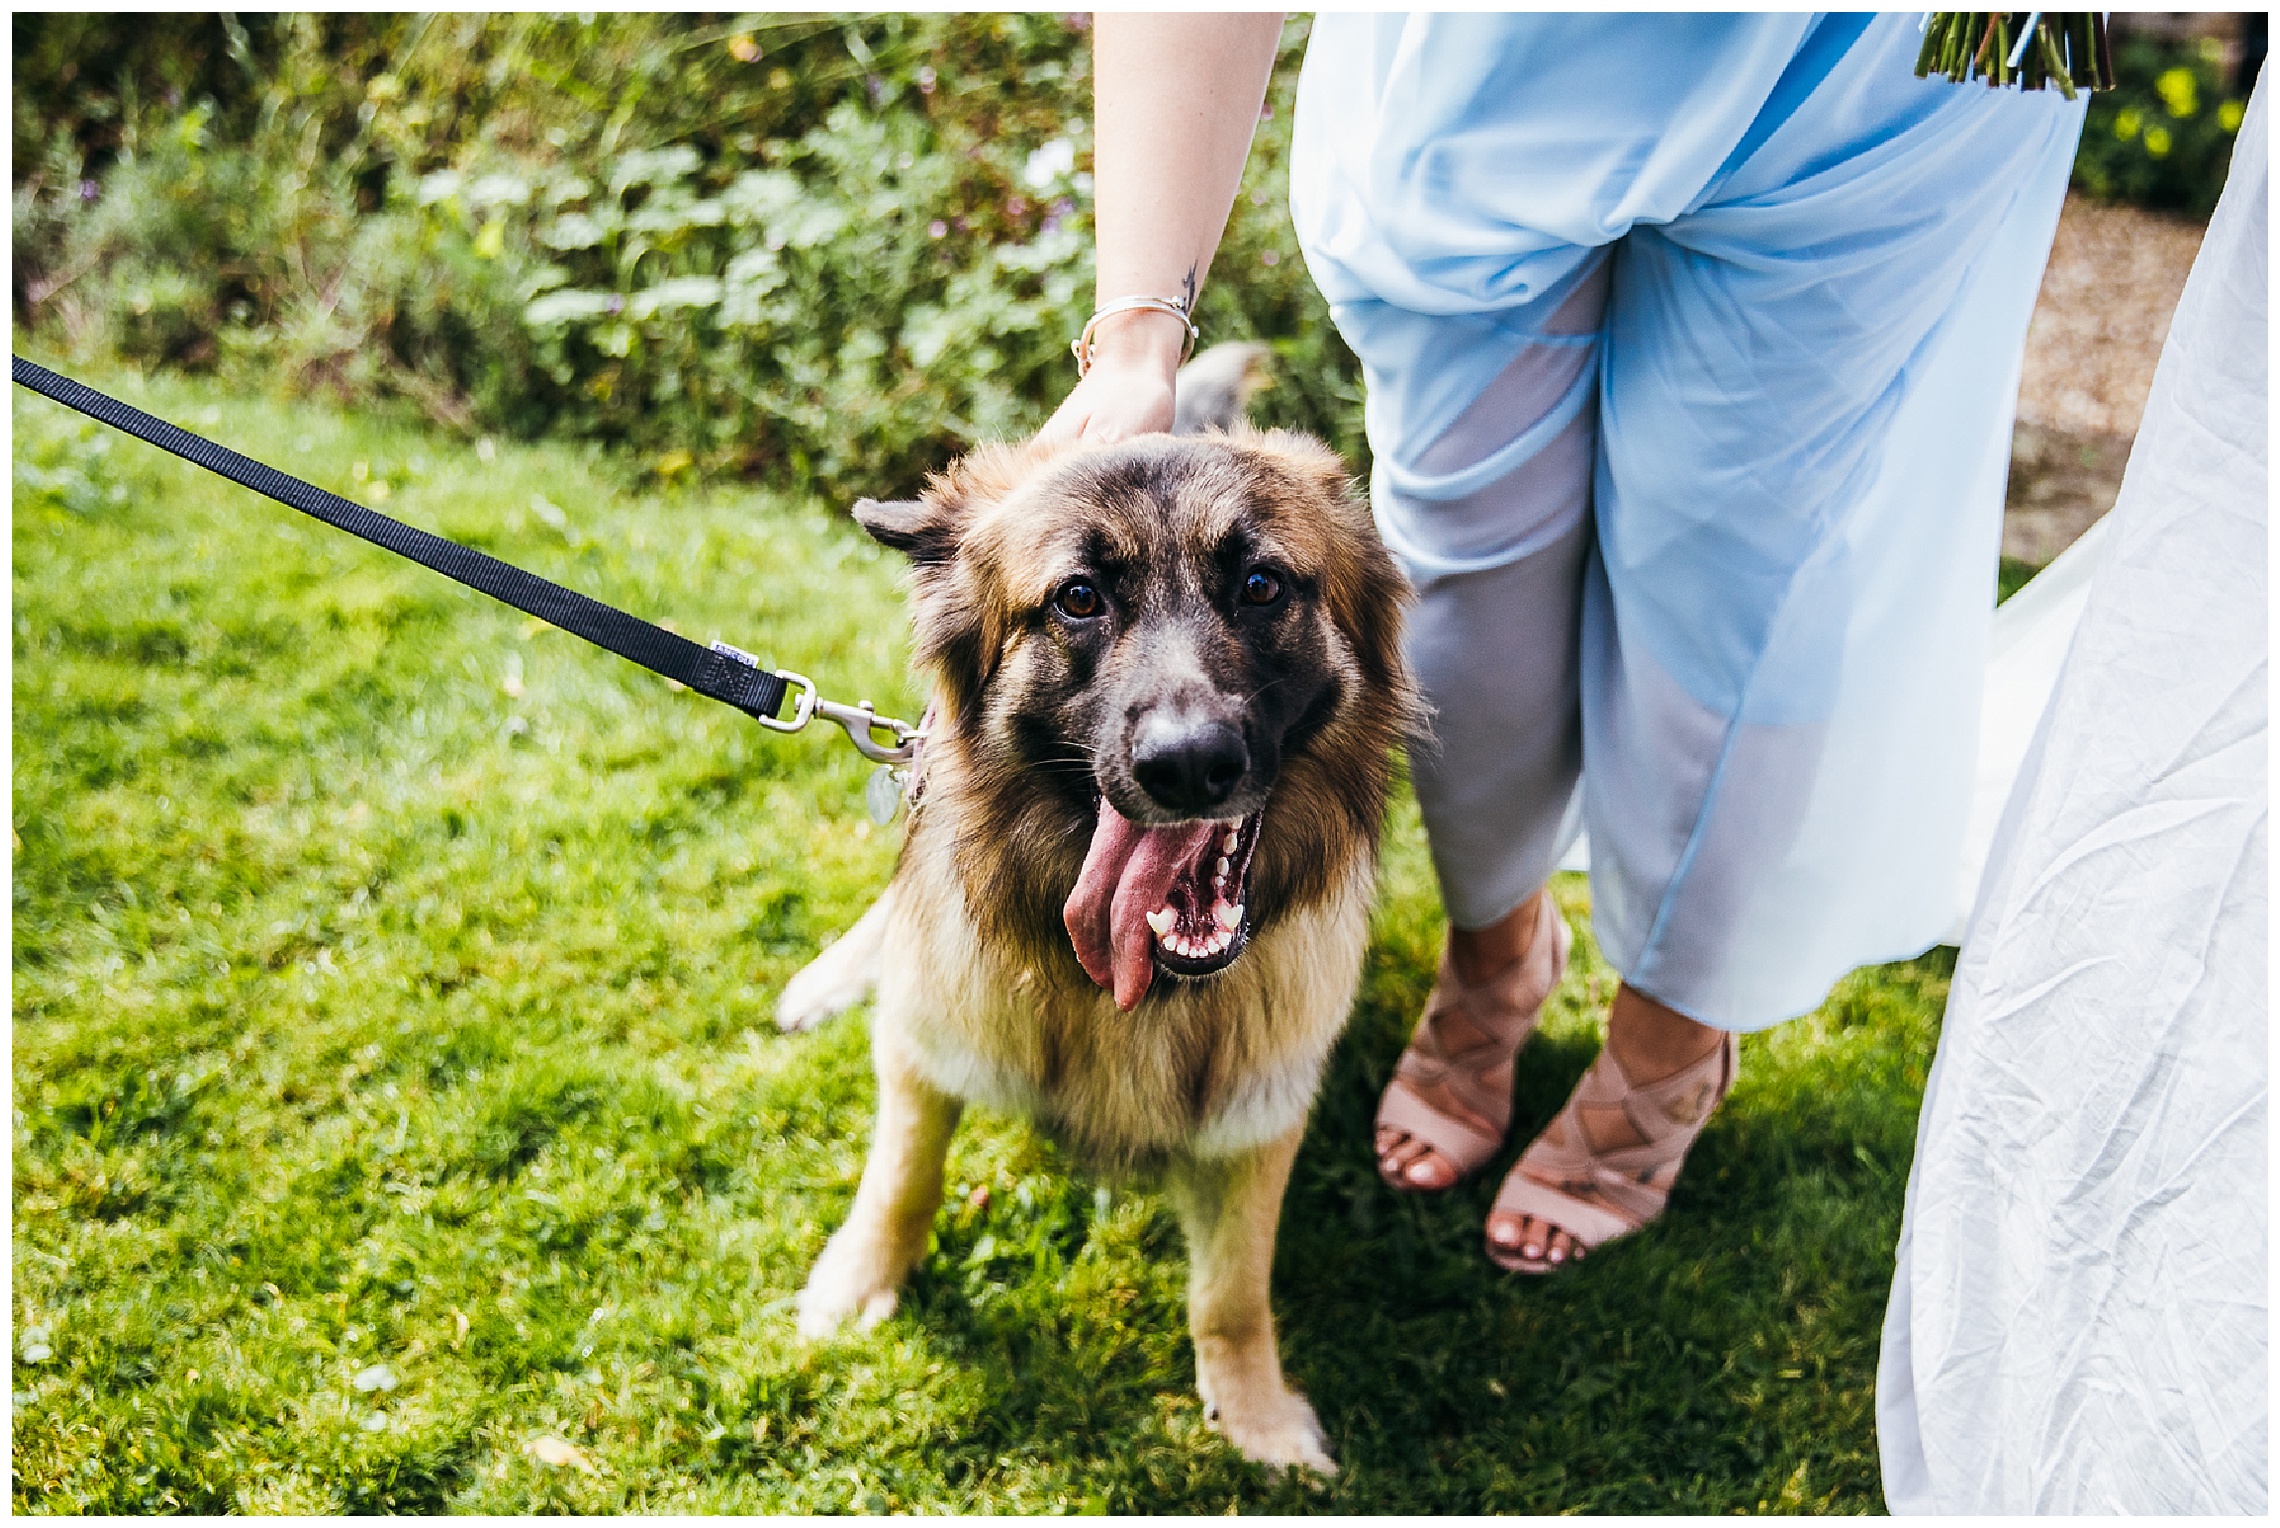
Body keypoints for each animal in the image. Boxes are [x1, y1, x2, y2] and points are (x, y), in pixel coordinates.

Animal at [788, 353, 1422, 1477]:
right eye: (1077, 599)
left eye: (1262, 585)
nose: (1189, 766)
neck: (1133, 990)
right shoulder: (925, 1037)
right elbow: (901, 1177)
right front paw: (858, 1283)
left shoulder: (1259, 1113)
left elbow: (1231, 1291)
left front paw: (1254, 1414)